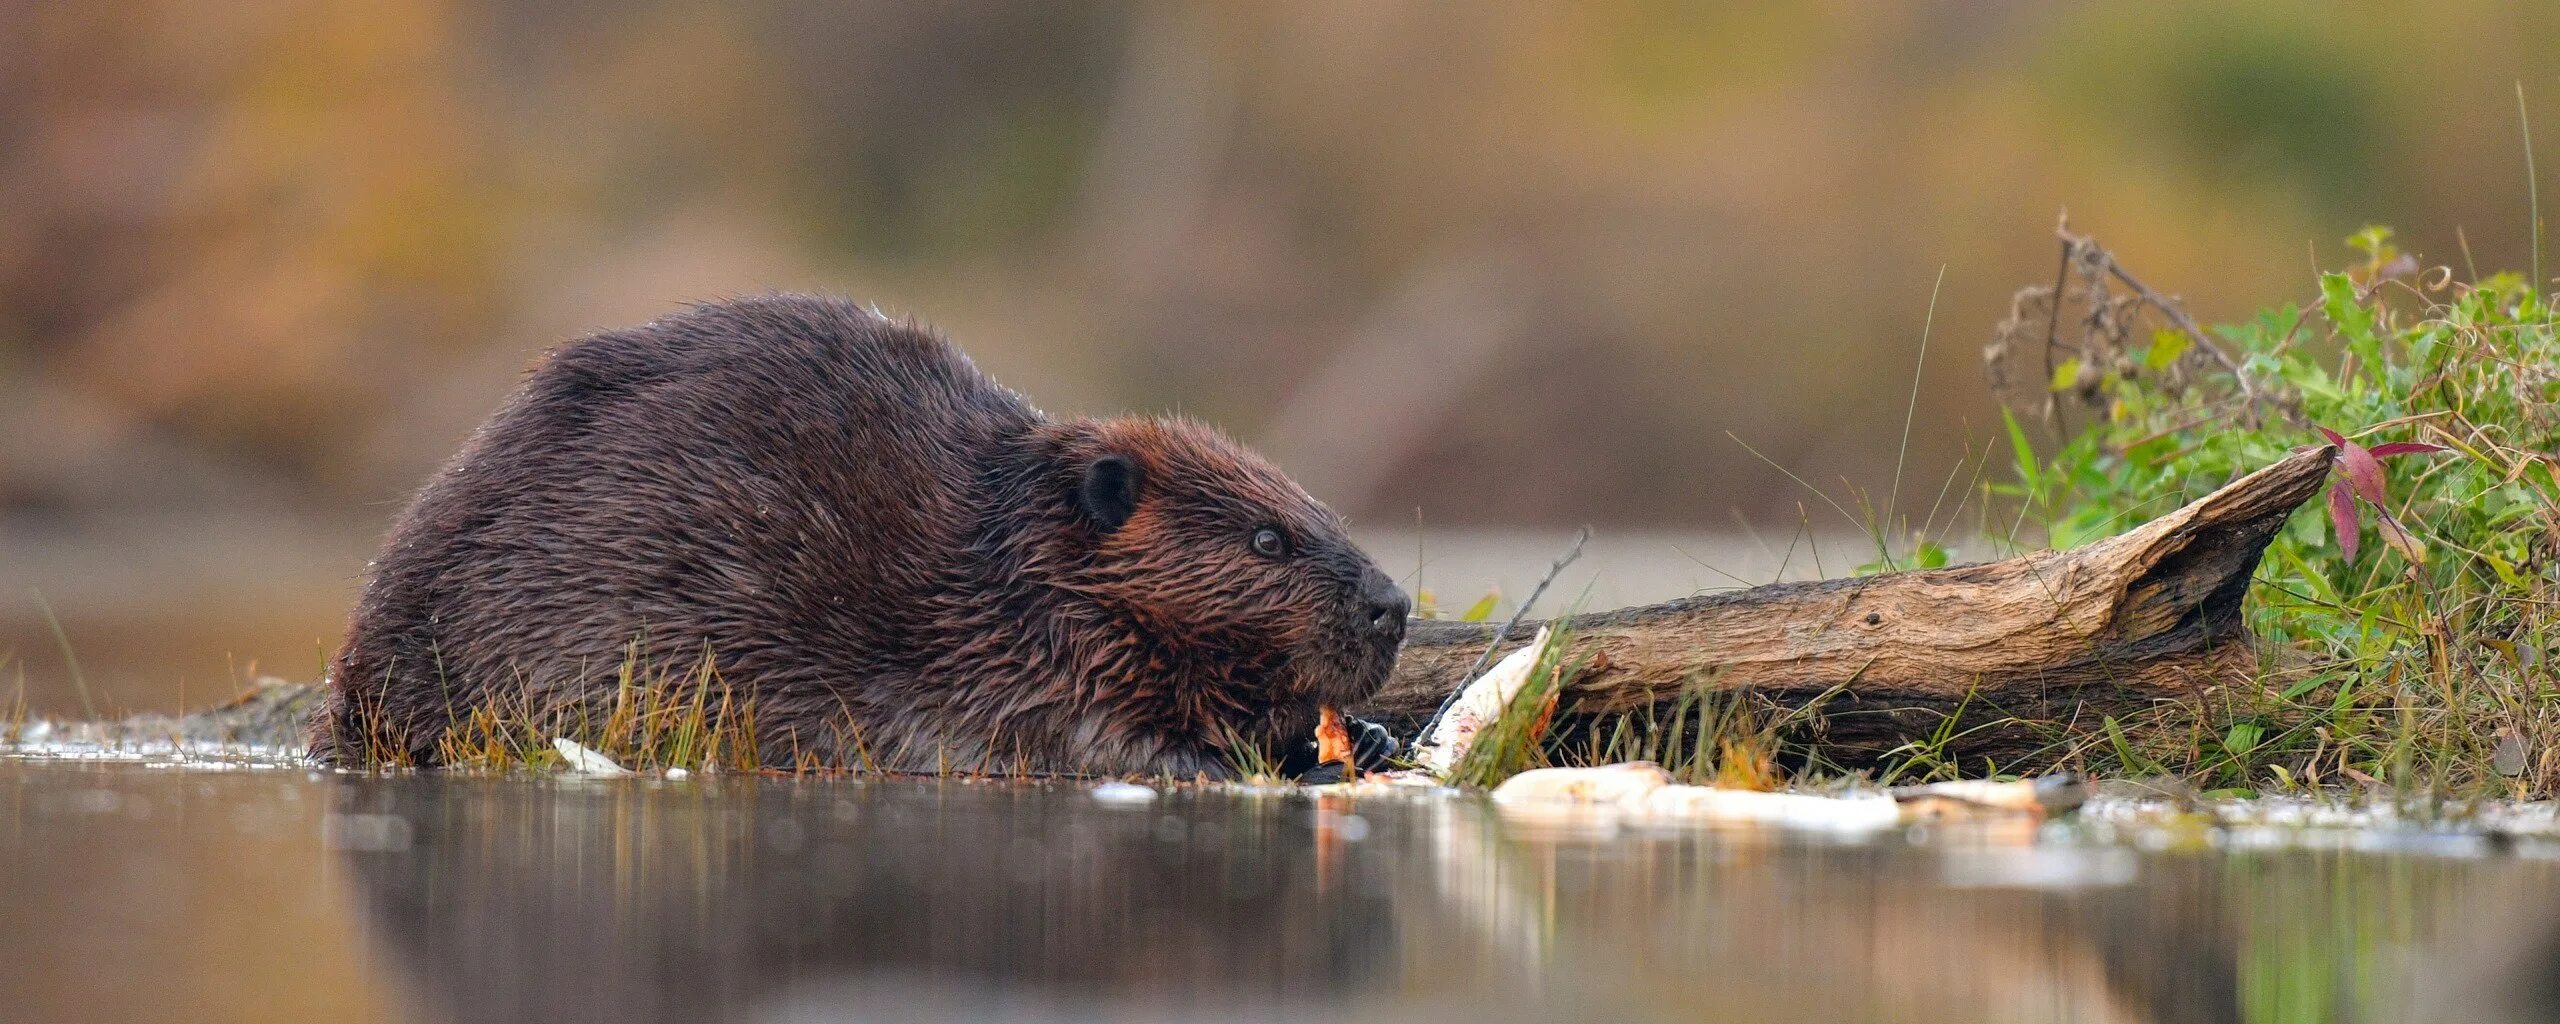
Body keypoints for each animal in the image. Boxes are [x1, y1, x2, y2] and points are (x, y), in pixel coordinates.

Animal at [314, 291, 1423, 773]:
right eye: (1268, 541)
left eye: (1318, 515)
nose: (1394, 605)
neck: (1002, 557)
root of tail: (349, 693)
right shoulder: (1021, 658)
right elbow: (1095, 739)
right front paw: (1237, 760)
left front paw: (1361, 734)